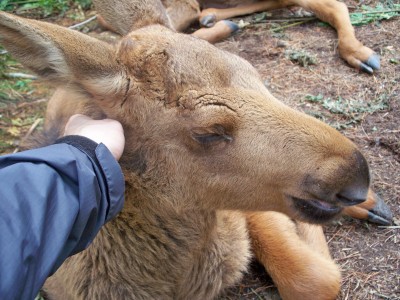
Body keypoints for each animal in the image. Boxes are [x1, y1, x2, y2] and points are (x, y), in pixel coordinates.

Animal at [0, 1, 390, 298]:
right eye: (209, 131)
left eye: (256, 74)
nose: (356, 175)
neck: (180, 283)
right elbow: (315, 278)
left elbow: (314, 278)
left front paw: (369, 203)